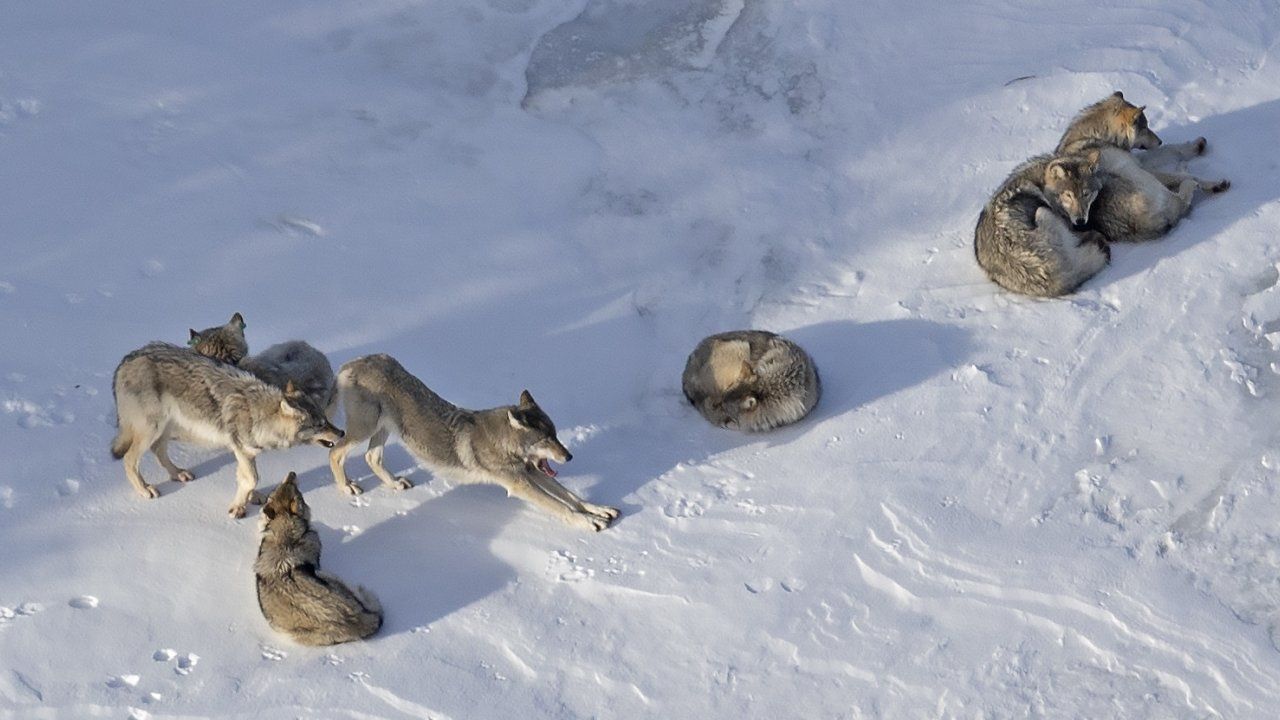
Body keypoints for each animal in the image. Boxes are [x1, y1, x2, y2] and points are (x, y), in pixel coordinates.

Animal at [110, 342, 344, 517]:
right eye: (319, 425)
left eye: (325, 419)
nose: (341, 433)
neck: (258, 414)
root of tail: (125, 360)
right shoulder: (240, 449)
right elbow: (252, 478)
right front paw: (237, 508)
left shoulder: (245, 452)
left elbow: (246, 478)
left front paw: (251, 498)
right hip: (153, 428)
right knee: (129, 459)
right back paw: (144, 489)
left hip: (167, 427)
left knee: (158, 449)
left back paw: (178, 474)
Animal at [328, 354, 620, 532]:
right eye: (545, 439)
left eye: (556, 434)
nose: (569, 457)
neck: (505, 443)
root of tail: (351, 363)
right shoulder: (520, 484)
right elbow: (562, 506)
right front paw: (588, 523)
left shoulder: (531, 472)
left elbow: (572, 496)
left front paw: (598, 510)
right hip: (365, 429)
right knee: (336, 453)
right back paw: (346, 488)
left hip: (383, 429)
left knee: (372, 457)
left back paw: (395, 484)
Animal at [1056, 91, 1230, 243]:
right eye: (1145, 128)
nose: (1159, 141)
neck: (1095, 137)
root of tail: (1140, 227)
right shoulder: (1138, 167)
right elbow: (1182, 173)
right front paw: (1210, 181)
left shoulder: (1139, 161)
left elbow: (1172, 149)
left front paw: (1196, 146)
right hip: (1146, 180)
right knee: (1183, 197)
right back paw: (1208, 184)